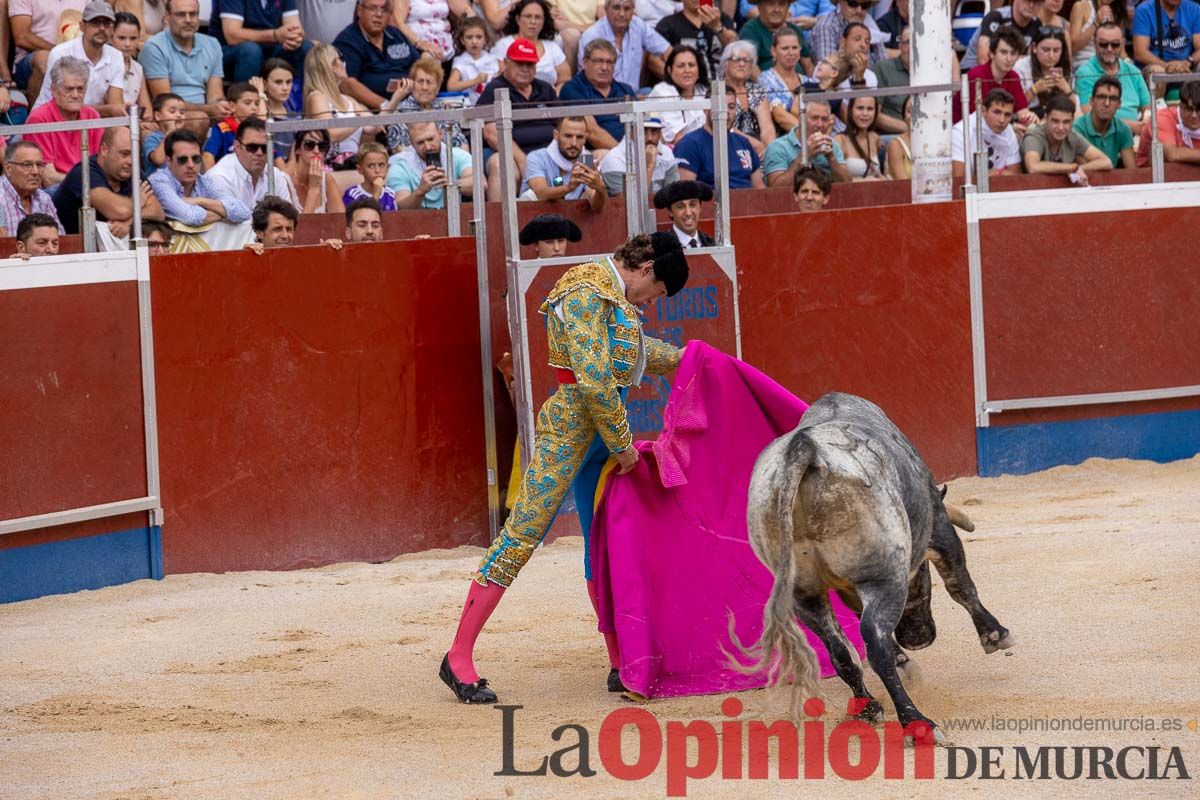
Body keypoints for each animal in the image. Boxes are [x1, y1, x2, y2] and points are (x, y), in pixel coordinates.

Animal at [739, 391, 1012, 743]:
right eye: (923, 571)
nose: (919, 638)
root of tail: (806, 449)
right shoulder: (939, 527)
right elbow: (960, 585)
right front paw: (995, 635)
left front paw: (904, 660)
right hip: (883, 576)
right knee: (875, 643)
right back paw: (917, 723)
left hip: (802, 592)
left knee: (841, 649)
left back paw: (868, 706)